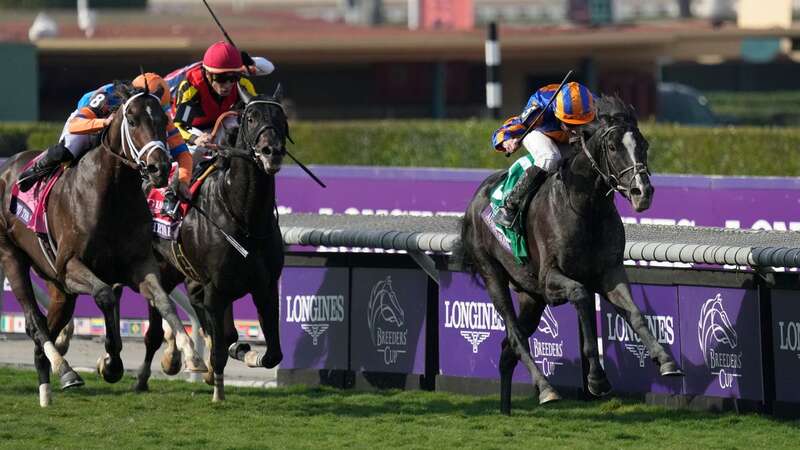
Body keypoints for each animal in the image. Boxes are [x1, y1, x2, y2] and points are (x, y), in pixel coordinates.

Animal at [0, 81, 209, 408]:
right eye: (132, 120)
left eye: (164, 120)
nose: (160, 167)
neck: (110, 194)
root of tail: (9, 165)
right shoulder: (70, 266)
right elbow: (105, 296)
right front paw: (111, 363)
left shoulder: (139, 265)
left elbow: (163, 300)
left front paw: (190, 354)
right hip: (12, 257)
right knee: (35, 321)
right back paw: (65, 369)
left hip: (58, 287)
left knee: (48, 324)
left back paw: (47, 387)